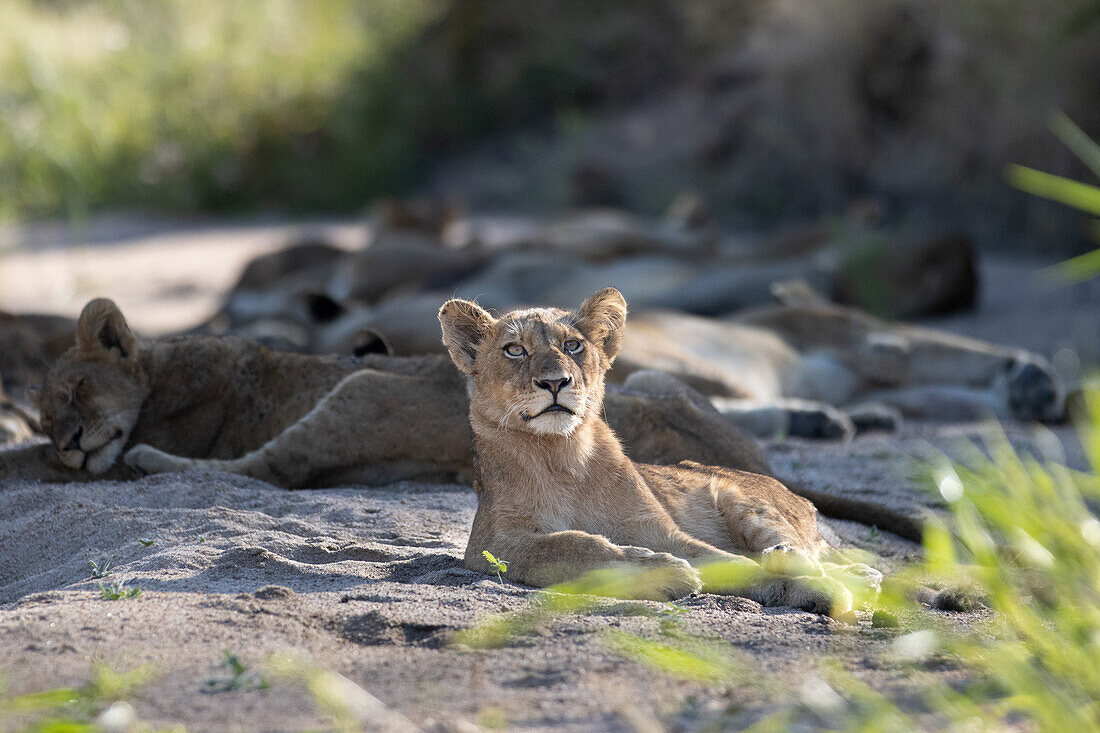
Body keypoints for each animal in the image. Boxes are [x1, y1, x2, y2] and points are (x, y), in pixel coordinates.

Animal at [437, 286, 875, 611]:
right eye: (515, 350)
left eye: (573, 345)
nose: (556, 382)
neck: (562, 456)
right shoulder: (493, 545)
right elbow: (570, 546)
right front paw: (665, 573)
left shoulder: (663, 531)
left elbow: (732, 564)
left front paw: (813, 591)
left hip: (744, 501)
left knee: (812, 553)